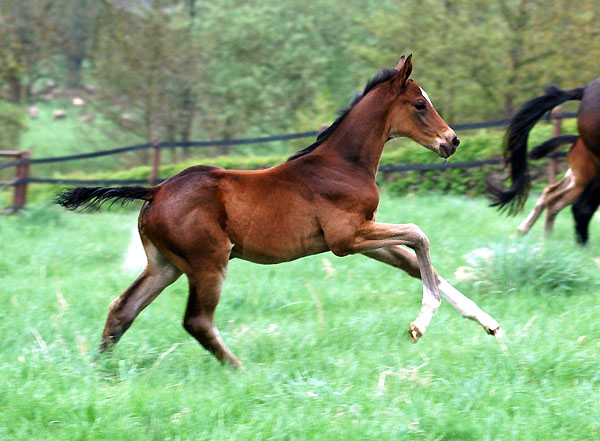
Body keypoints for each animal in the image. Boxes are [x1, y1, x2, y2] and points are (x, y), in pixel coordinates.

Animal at [58, 55, 504, 368]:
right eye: (419, 104)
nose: (452, 140)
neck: (342, 163)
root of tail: (157, 189)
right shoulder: (347, 238)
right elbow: (418, 234)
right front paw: (421, 323)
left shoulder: (363, 235)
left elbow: (416, 263)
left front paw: (489, 324)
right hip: (208, 262)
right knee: (196, 321)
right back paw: (240, 370)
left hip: (165, 265)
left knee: (123, 309)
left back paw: (101, 373)